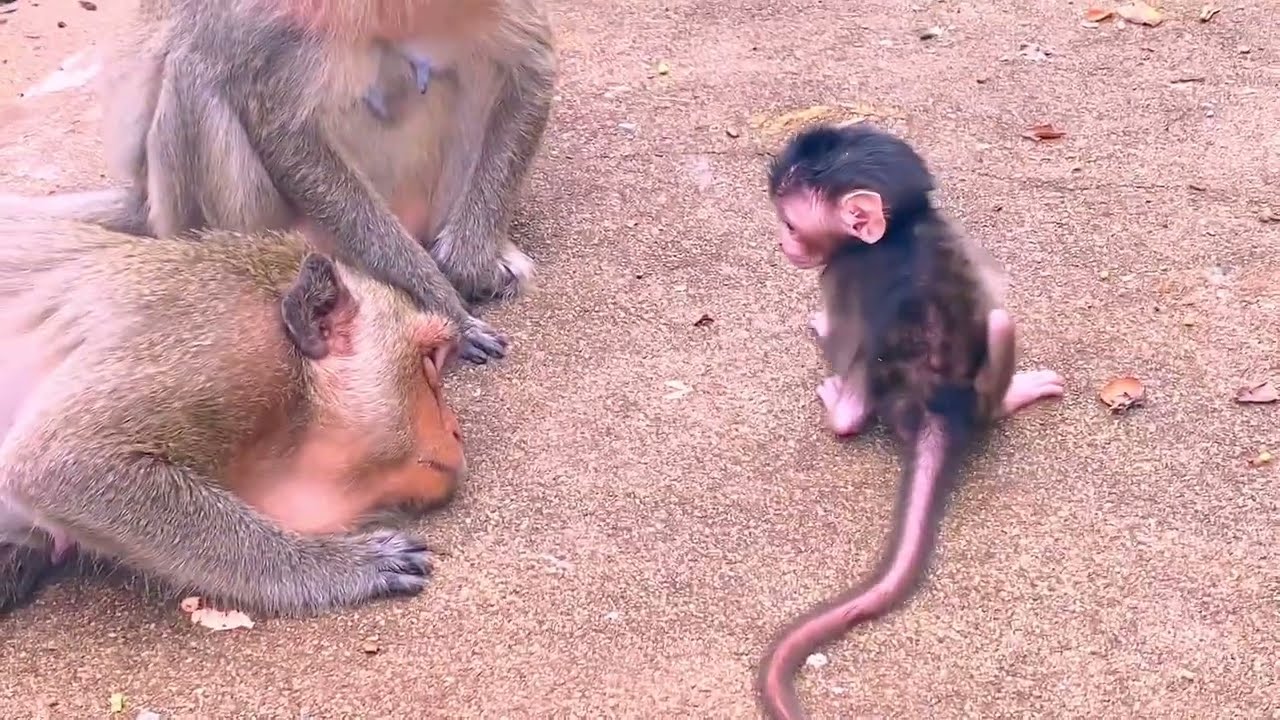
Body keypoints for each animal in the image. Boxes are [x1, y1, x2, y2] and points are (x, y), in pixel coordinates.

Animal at [754, 123, 1065, 720]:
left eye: (790, 224)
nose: (781, 244)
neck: (897, 230)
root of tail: (938, 408)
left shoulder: (844, 272)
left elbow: (846, 342)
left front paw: (829, 359)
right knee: (998, 319)